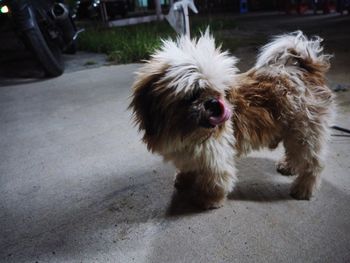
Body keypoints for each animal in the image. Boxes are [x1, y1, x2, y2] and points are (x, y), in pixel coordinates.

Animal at [129, 29, 334, 209]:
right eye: (193, 94)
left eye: (219, 92)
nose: (213, 102)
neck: (186, 129)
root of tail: (306, 70)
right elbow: (190, 167)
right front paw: (185, 179)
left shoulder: (215, 156)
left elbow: (215, 180)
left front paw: (209, 200)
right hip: (295, 132)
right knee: (296, 154)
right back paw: (289, 167)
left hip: (305, 133)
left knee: (313, 164)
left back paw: (304, 188)